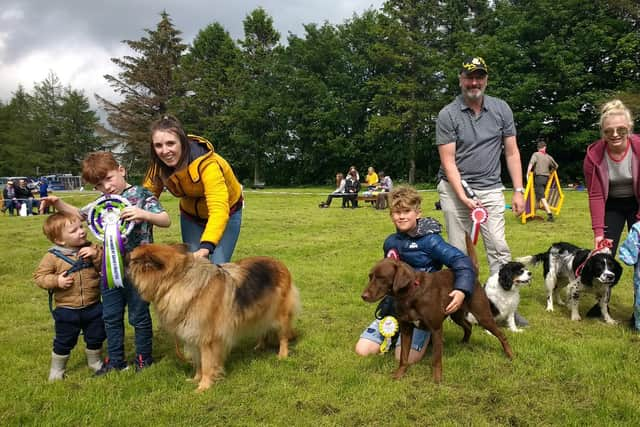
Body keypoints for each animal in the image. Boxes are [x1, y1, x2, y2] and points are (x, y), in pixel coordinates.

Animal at [129, 244, 302, 394]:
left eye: (132, 260)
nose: (125, 260)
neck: (178, 280)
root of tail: (279, 263)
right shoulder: (194, 337)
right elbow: (198, 362)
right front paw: (196, 379)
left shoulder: (207, 339)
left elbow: (206, 364)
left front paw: (204, 386)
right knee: (263, 328)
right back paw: (260, 345)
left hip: (280, 315)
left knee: (283, 336)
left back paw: (282, 354)